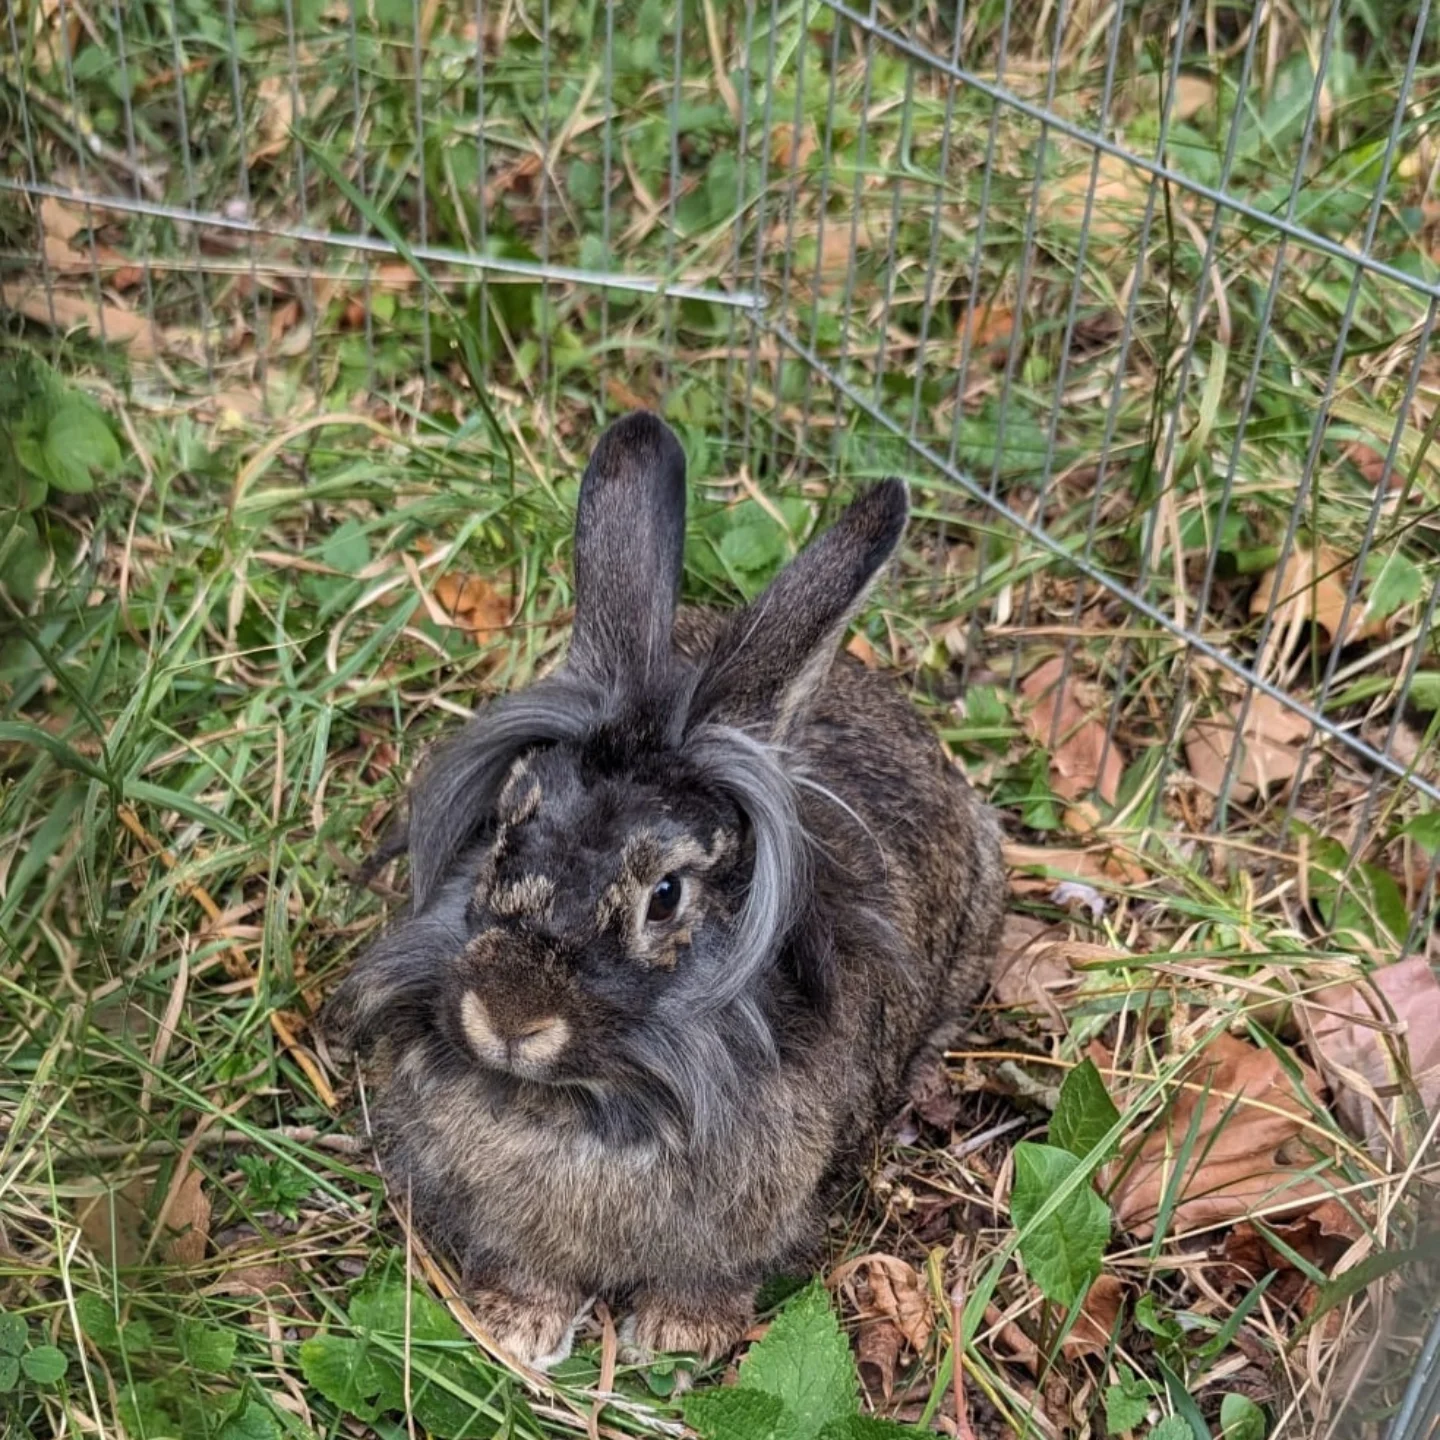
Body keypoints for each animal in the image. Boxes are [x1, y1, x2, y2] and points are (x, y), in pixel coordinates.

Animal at [324, 410, 1006, 1371]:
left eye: (668, 896)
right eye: (502, 830)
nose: (508, 1017)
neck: (590, 1100)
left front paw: (682, 1336)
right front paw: (520, 1326)